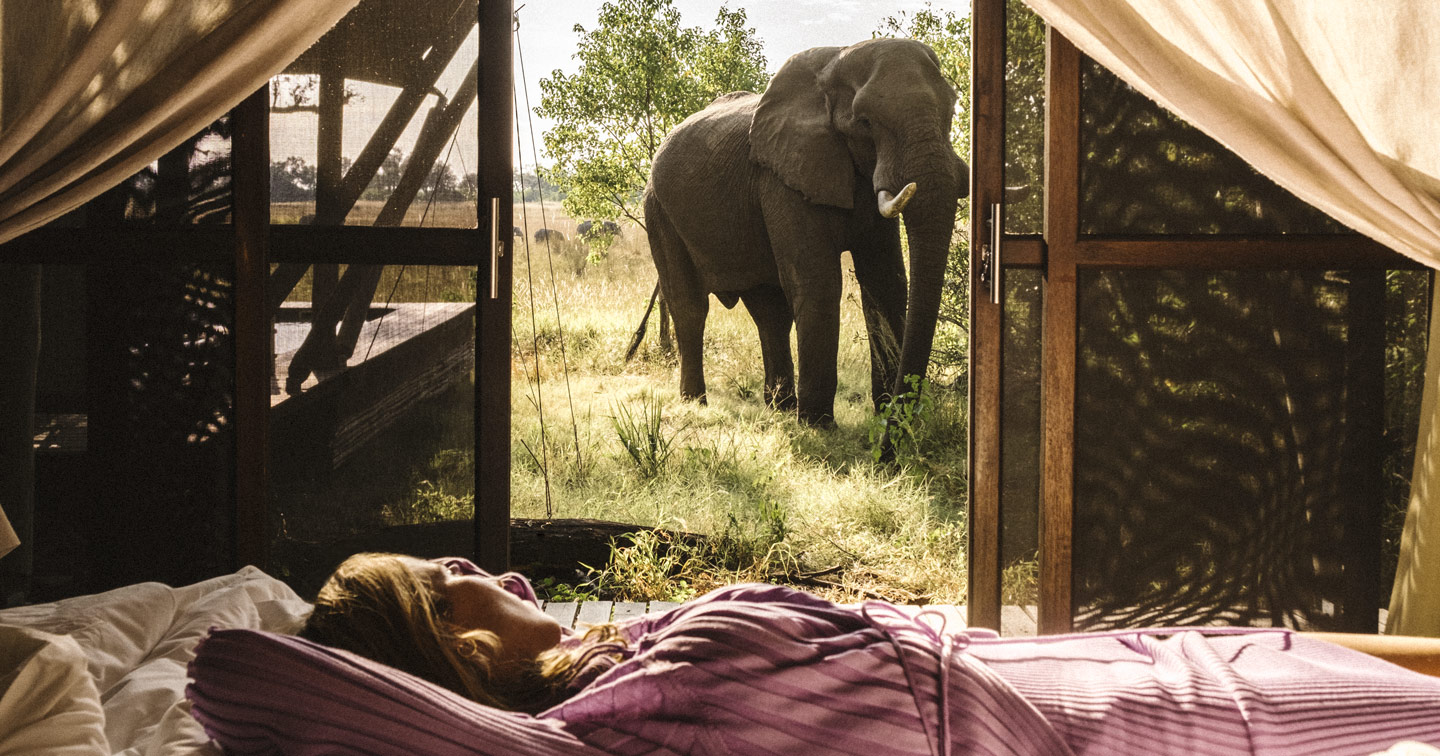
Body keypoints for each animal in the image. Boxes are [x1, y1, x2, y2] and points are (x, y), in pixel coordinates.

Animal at [650, 39, 967, 423]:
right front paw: (818, 424)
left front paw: (884, 415)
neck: (837, 61)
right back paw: (696, 402)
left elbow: (886, 281)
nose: (897, 424)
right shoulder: (782, 178)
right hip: (659, 211)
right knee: (690, 307)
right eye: (865, 122)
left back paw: (780, 407)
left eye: (951, 111)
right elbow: (818, 282)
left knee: (770, 312)